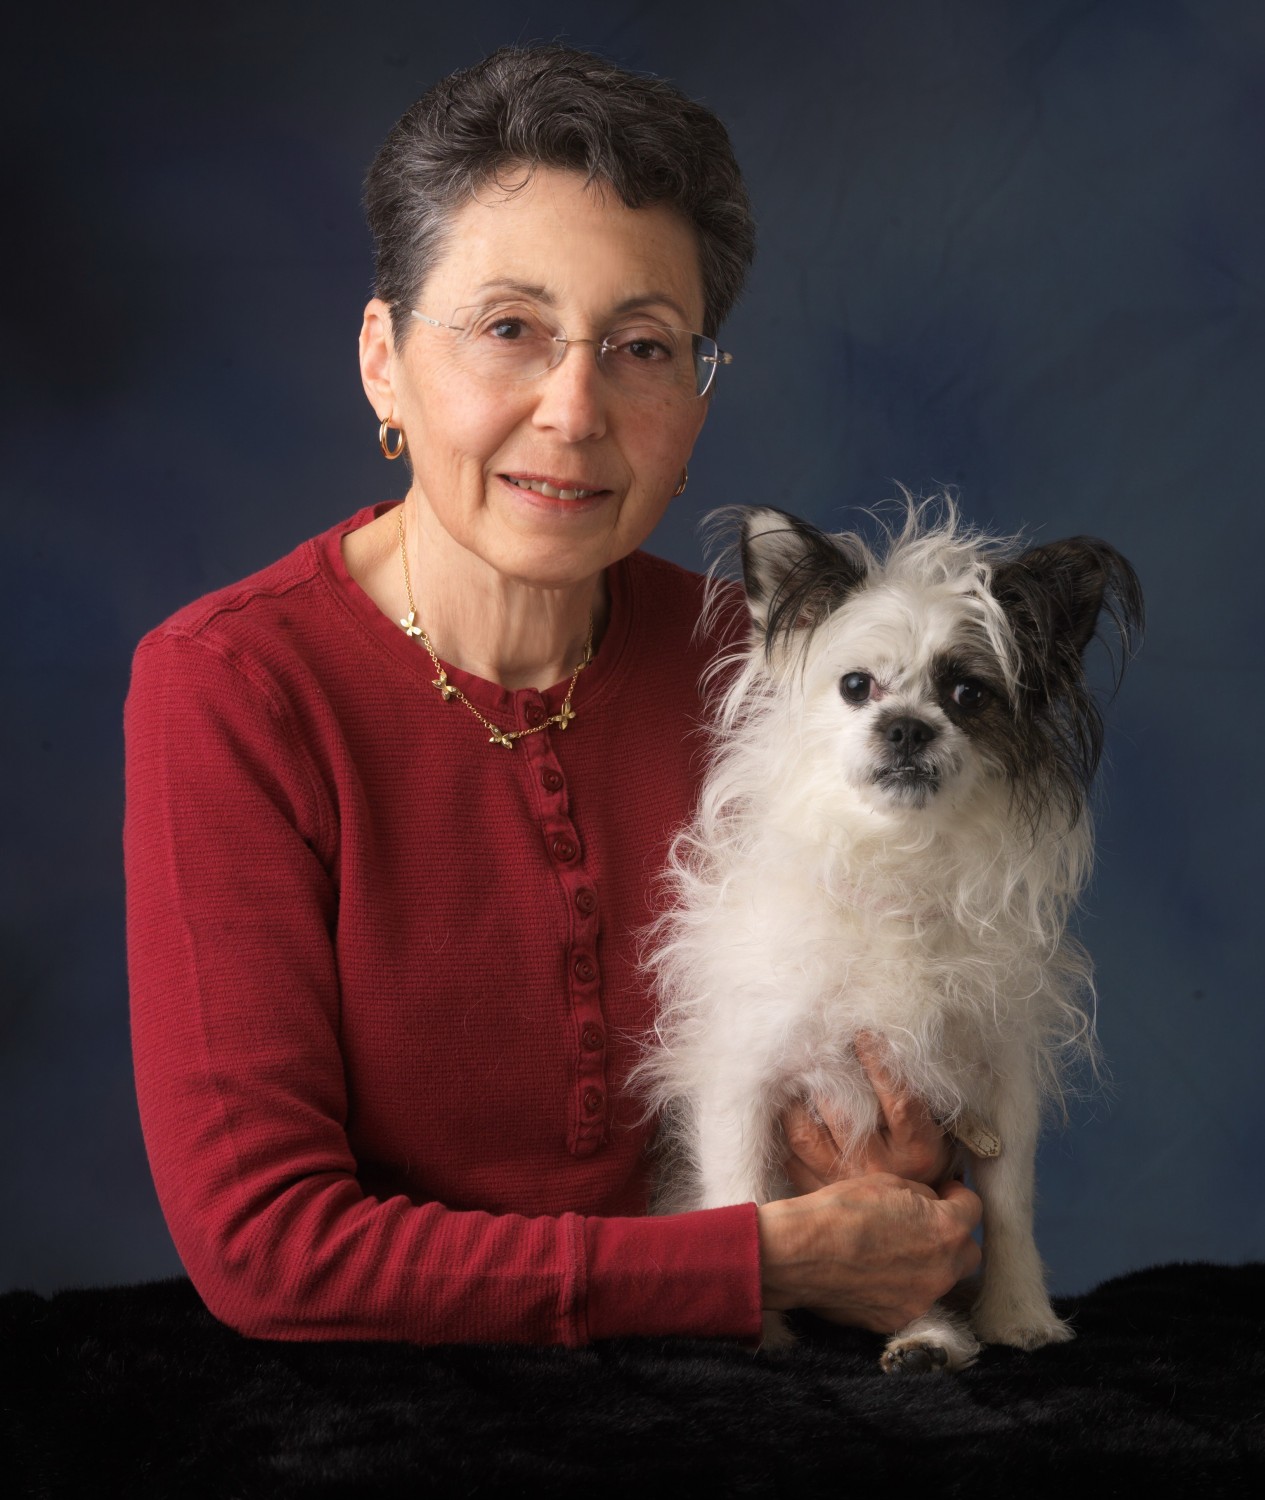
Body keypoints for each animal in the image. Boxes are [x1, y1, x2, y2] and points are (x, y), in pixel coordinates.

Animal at [639, 501, 1140, 1374]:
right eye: (854, 687)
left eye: (968, 693)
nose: (906, 727)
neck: (894, 856)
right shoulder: (744, 1078)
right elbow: (743, 1200)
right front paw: (756, 1337)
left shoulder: (999, 1085)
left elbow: (1008, 1206)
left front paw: (1017, 1314)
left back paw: (926, 1337)